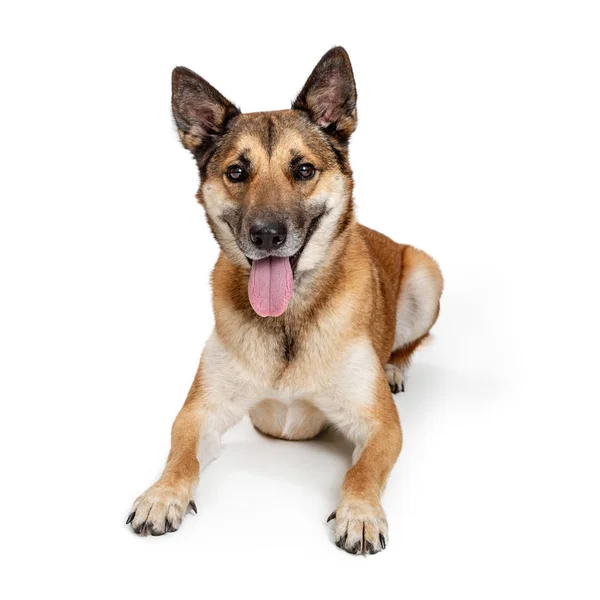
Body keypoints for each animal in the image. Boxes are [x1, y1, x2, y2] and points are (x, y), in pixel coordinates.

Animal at [126, 44, 442, 556]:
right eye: (237, 171)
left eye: (304, 170)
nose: (267, 235)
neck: (288, 320)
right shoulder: (199, 414)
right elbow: (180, 456)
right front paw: (161, 495)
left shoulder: (381, 426)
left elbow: (362, 470)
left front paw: (360, 514)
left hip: (426, 276)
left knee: (408, 344)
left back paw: (394, 367)